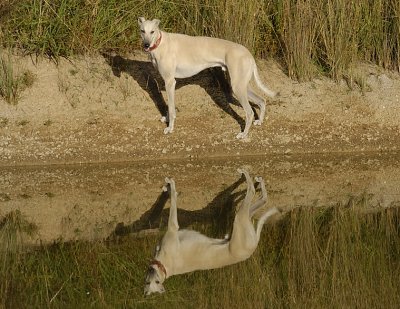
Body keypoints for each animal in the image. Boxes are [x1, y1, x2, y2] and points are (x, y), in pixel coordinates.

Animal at [138, 16, 276, 137]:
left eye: (152, 31)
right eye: (142, 31)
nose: (146, 45)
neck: (160, 42)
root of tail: (249, 54)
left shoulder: (170, 82)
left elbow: (171, 109)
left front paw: (170, 128)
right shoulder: (167, 83)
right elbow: (168, 106)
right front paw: (166, 119)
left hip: (238, 88)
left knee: (249, 112)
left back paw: (243, 134)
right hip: (242, 86)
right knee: (262, 101)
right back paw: (259, 121)